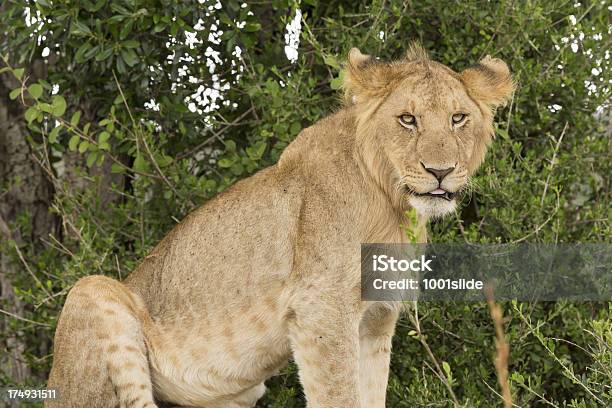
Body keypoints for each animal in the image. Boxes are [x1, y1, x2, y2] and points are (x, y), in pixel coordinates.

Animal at [47, 44, 512, 408]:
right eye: (407, 120)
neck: (393, 205)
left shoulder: (376, 318)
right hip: (91, 291)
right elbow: (340, 395)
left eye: (458, 119)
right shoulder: (321, 309)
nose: (440, 171)